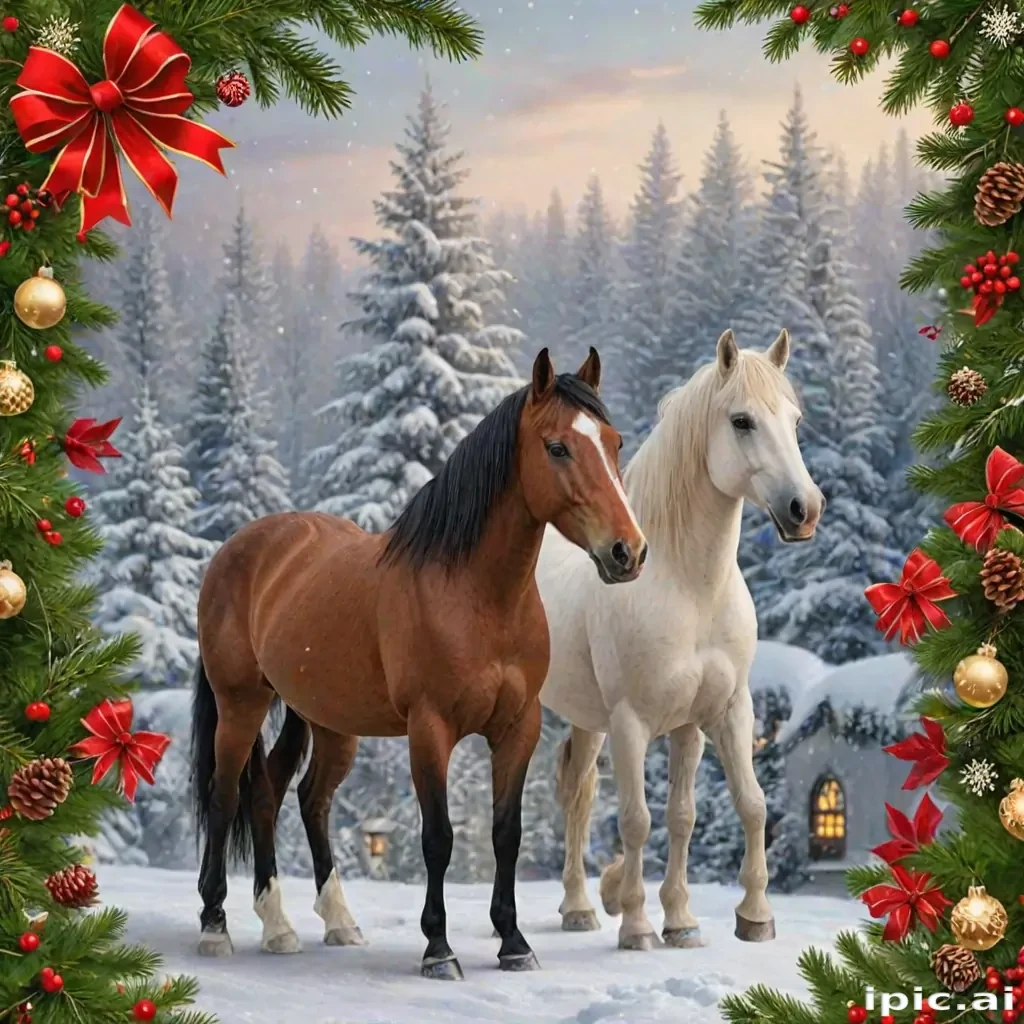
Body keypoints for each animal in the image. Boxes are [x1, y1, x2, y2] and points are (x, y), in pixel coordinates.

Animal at [189, 347, 647, 980]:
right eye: (557, 447)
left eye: (614, 441)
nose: (628, 551)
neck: (477, 596)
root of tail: (238, 548)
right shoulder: (430, 729)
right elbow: (439, 838)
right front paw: (439, 948)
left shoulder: (518, 728)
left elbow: (506, 833)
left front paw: (513, 942)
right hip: (242, 704)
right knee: (226, 794)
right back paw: (216, 926)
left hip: (323, 718)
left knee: (292, 797)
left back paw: (306, 923)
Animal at [539, 329, 824, 950]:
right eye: (741, 420)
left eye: (795, 421)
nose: (805, 510)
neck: (688, 588)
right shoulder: (631, 722)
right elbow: (638, 820)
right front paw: (639, 926)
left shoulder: (713, 715)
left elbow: (723, 810)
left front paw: (717, 919)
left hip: (587, 719)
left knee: (578, 793)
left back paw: (578, 908)